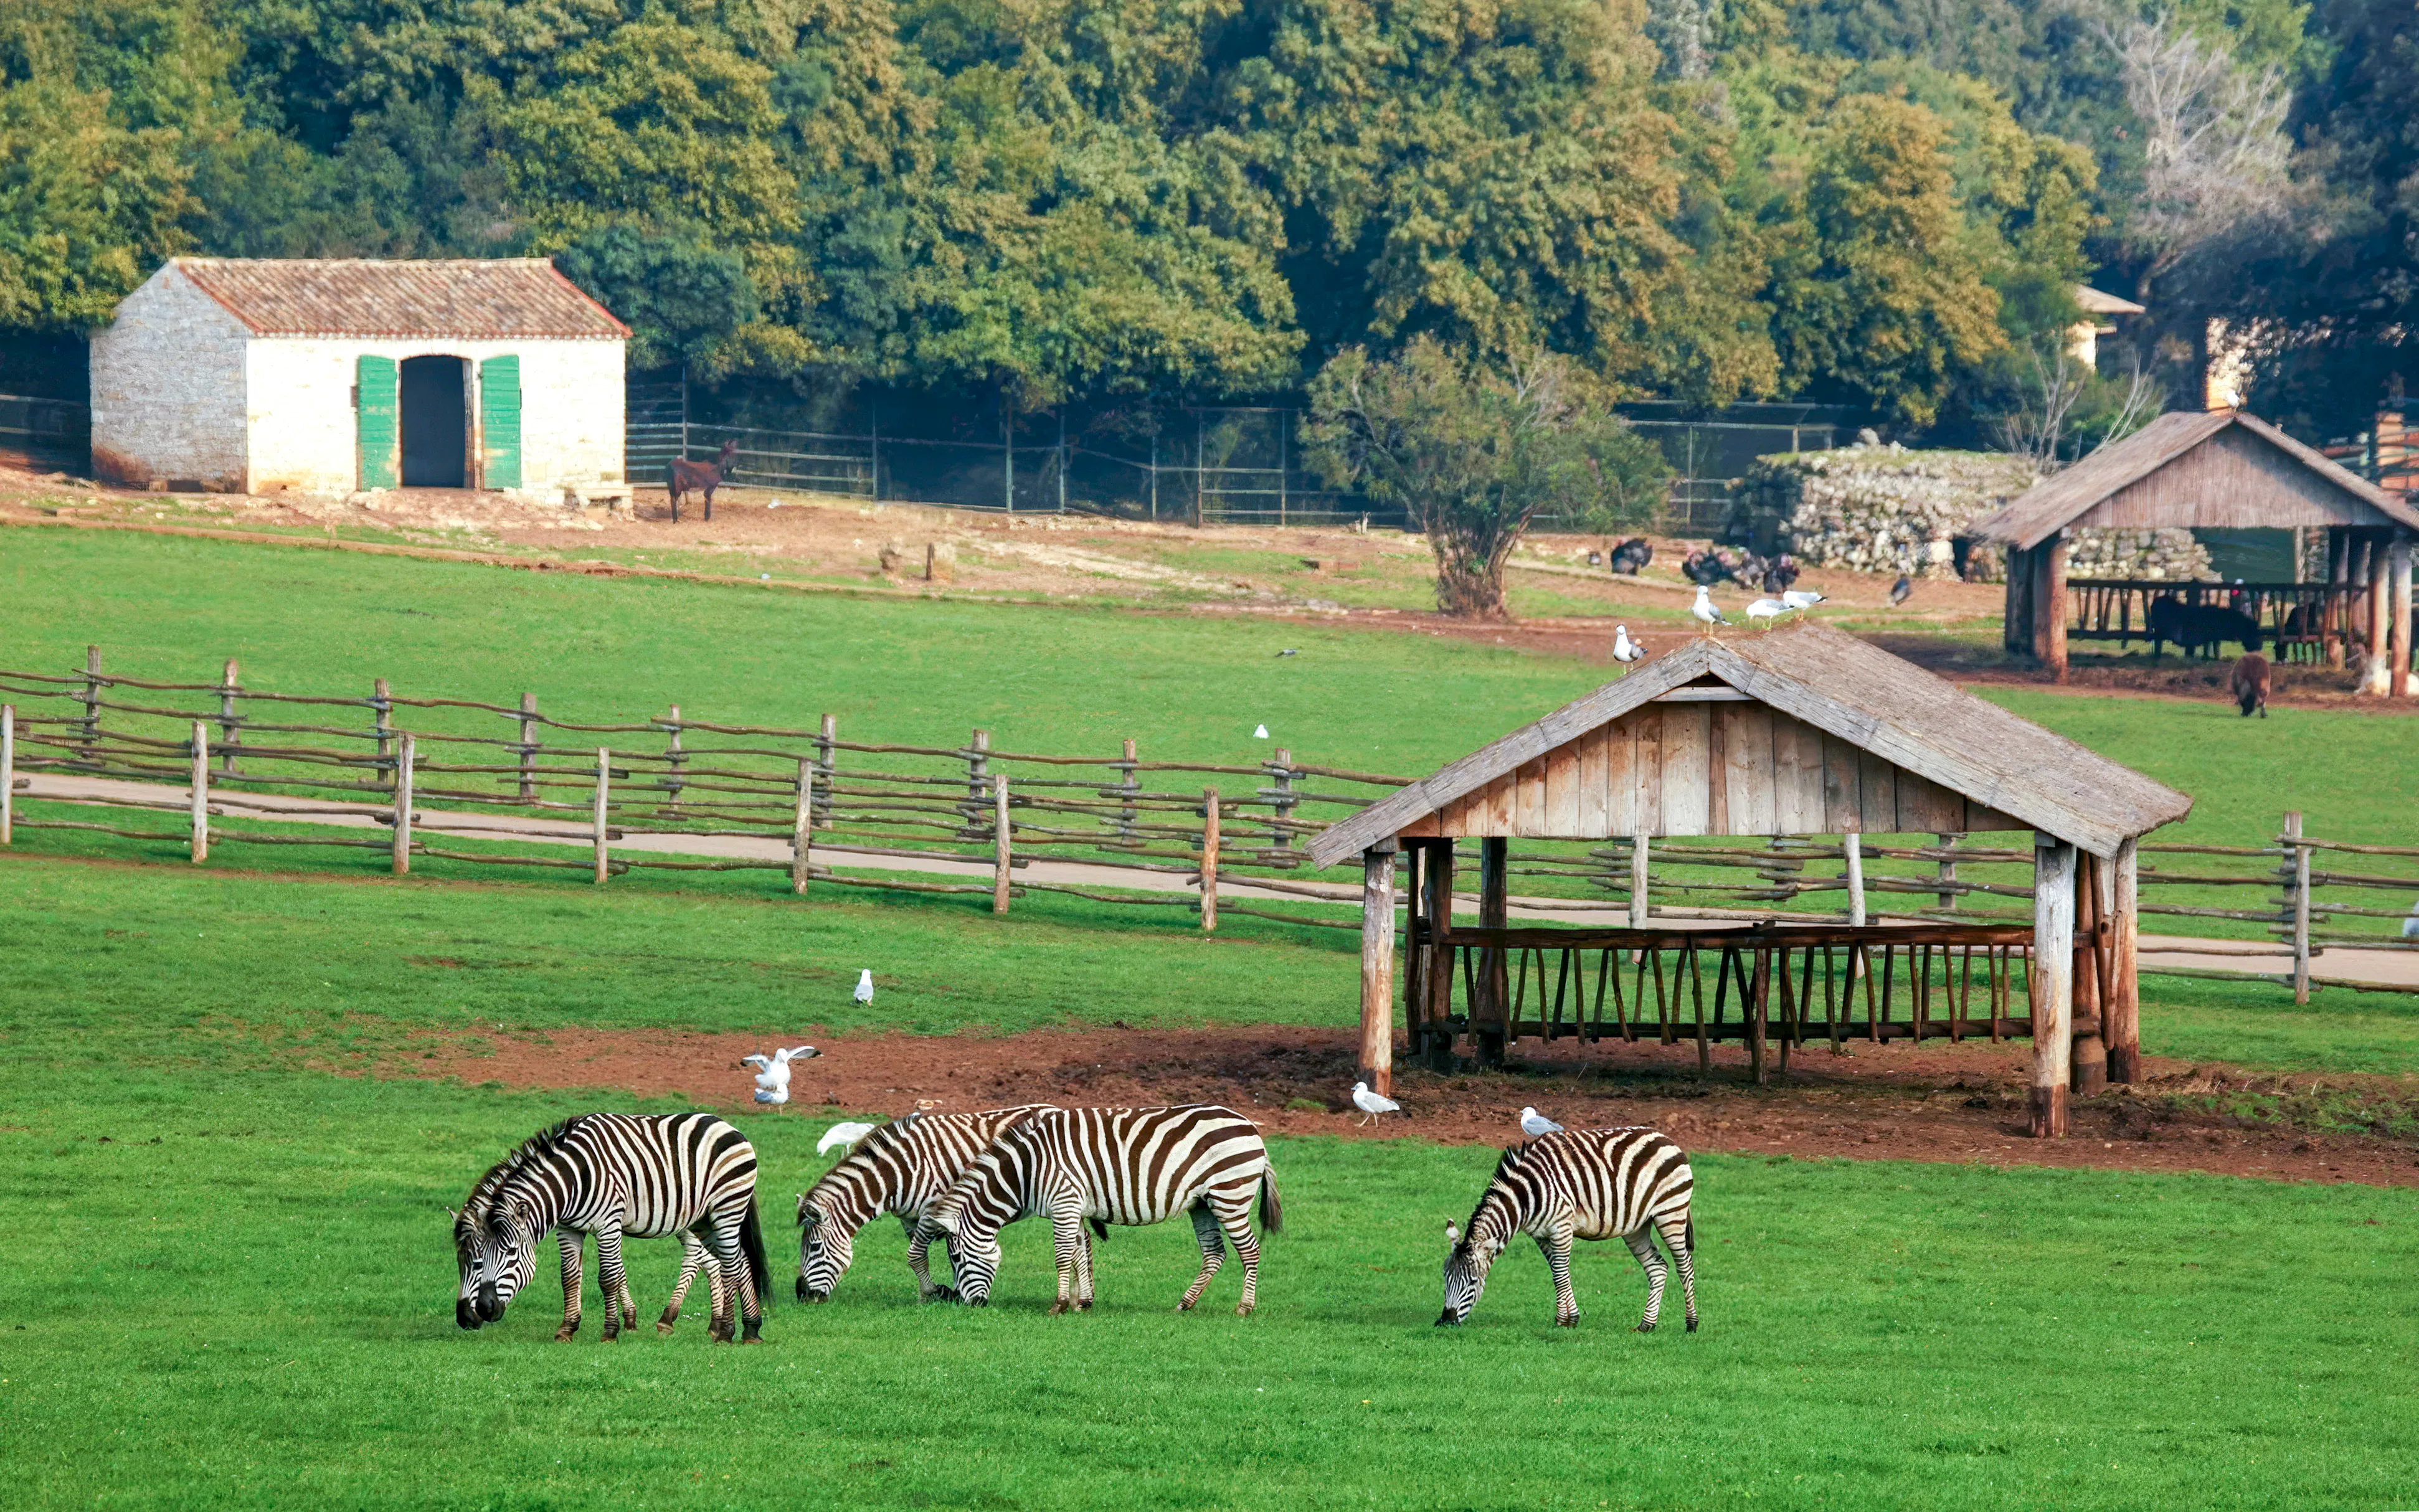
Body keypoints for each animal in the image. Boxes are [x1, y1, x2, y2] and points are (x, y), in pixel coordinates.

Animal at [452, 1112, 771, 1343]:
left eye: (511, 1253)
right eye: (465, 1262)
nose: (470, 1316)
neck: (573, 1178)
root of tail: (729, 1127)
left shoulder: (608, 1223)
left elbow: (608, 1279)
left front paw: (610, 1332)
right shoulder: (568, 1228)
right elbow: (570, 1277)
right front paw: (567, 1329)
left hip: (726, 1209)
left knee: (730, 1264)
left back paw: (728, 1332)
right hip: (703, 1219)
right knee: (736, 1263)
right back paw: (745, 1329)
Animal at [794, 1105, 1065, 1302]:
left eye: (815, 1247)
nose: (802, 1294)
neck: (897, 1174)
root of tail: (1053, 1107)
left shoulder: (931, 1213)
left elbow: (915, 1255)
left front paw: (934, 1292)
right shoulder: (910, 1219)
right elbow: (926, 1256)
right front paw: (938, 1294)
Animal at [919, 1105, 1282, 1315]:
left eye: (955, 1258)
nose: (967, 1305)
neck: (1027, 1171)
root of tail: (1251, 1126)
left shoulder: (1065, 1202)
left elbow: (1062, 1256)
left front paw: (1059, 1305)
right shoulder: (1074, 1206)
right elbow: (1080, 1255)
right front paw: (1083, 1303)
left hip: (1230, 1195)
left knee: (1250, 1251)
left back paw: (1244, 1308)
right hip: (1203, 1203)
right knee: (1214, 1253)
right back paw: (1185, 1304)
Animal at [1436, 1127, 1697, 1331]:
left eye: (1472, 1282)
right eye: (1445, 1278)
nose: (1445, 1322)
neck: (1526, 1196)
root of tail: (1667, 1139)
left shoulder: (1561, 1227)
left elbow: (1561, 1273)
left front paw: (1564, 1321)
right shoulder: (1541, 1235)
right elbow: (1555, 1270)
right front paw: (1571, 1317)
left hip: (1671, 1213)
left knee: (1684, 1266)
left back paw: (1691, 1324)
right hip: (1637, 1227)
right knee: (1658, 1267)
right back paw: (1647, 1325)